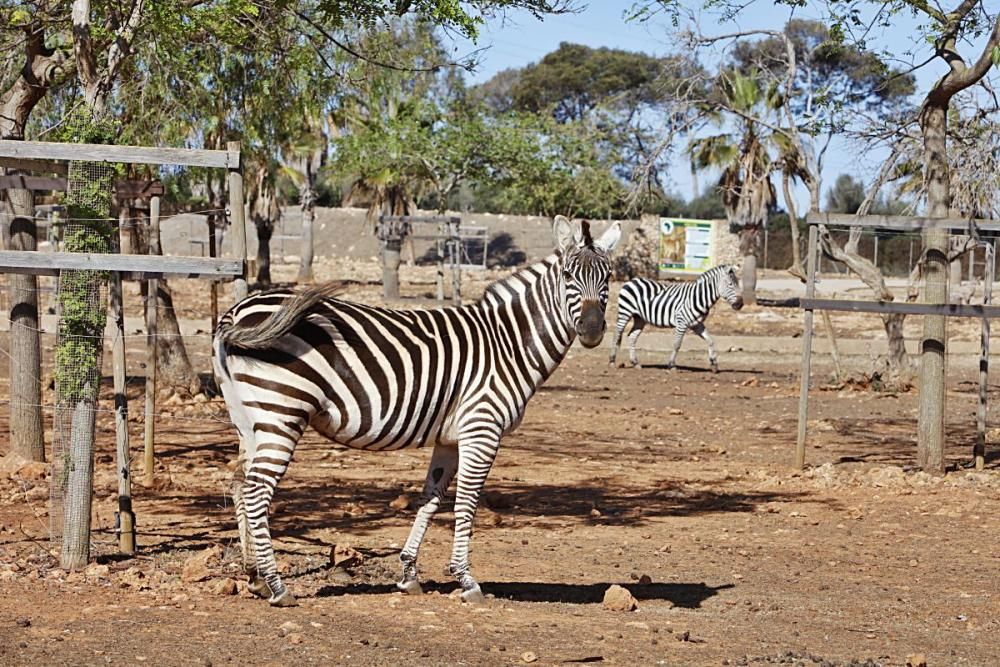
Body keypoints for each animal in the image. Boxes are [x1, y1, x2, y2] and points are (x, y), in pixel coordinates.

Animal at [213, 215, 616, 604]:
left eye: (609, 277)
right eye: (568, 276)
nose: (593, 330)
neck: (508, 342)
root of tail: (236, 313)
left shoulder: (450, 438)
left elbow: (430, 498)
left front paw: (409, 573)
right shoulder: (482, 428)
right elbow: (466, 502)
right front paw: (466, 580)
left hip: (248, 418)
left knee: (239, 483)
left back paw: (254, 577)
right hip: (281, 411)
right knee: (257, 490)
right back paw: (277, 585)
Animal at [608, 264, 744, 370]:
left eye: (737, 284)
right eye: (730, 284)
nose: (740, 304)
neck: (698, 297)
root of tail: (632, 280)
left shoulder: (697, 324)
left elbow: (710, 340)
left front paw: (714, 363)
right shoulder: (681, 322)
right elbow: (677, 344)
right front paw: (672, 365)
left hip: (640, 318)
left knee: (632, 336)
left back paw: (635, 363)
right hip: (625, 312)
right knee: (616, 334)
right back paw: (612, 361)